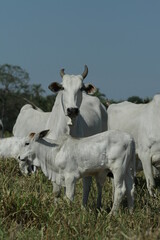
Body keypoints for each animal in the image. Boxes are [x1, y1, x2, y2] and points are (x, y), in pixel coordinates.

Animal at [12, 64, 107, 207]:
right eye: (62, 87)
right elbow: (56, 190)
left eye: (81, 88)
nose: (72, 110)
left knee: (92, 184)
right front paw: (56, 206)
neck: (67, 128)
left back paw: (91, 206)